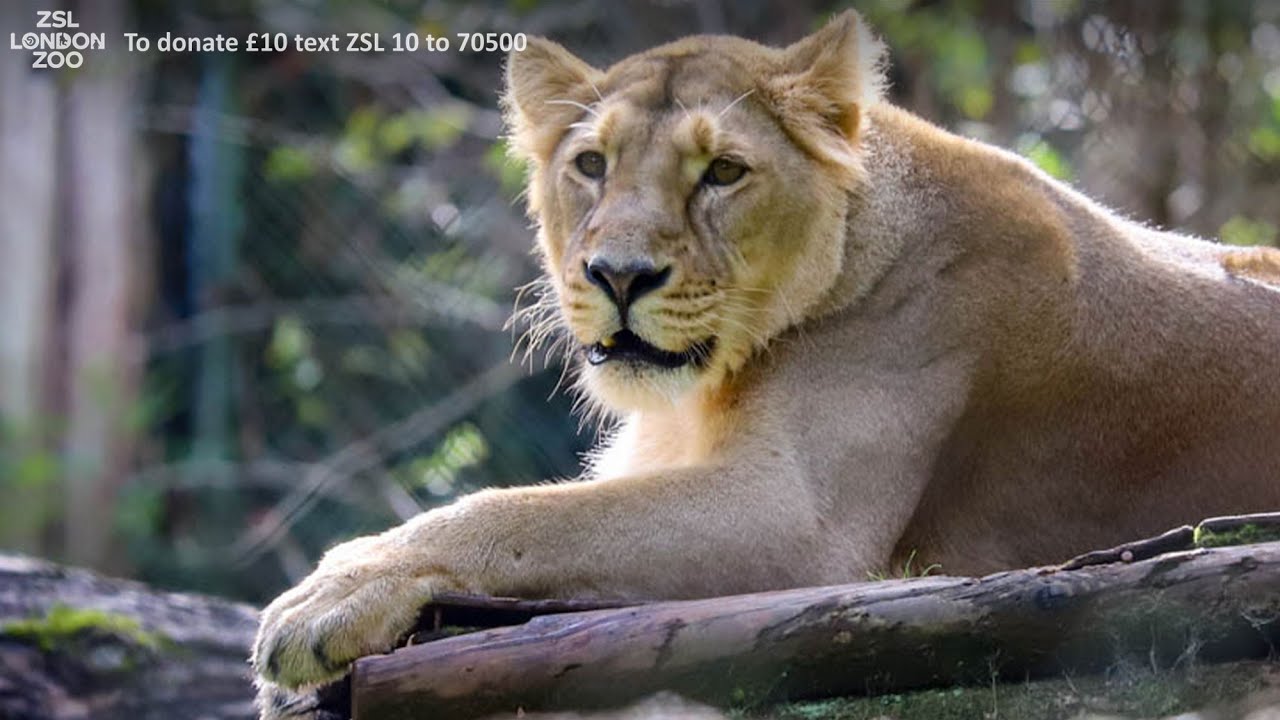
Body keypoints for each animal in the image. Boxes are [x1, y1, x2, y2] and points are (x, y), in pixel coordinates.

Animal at [252, 10, 1280, 705]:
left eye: (723, 172)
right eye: (591, 165)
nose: (619, 275)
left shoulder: (801, 521)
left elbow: (523, 515)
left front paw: (331, 594)